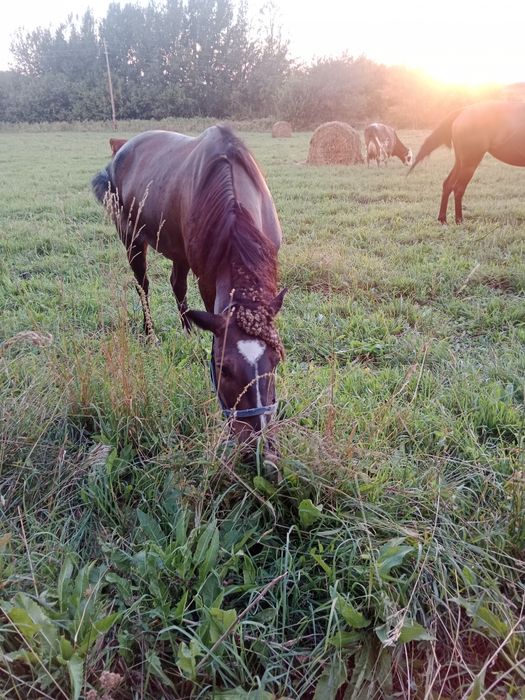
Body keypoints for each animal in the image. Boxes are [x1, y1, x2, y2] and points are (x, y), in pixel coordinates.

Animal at [92, 126, 286, 447]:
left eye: (276, 360)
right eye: (222, 367)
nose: (255, 439)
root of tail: (120, 148)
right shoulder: (206, 279)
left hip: (178, 251)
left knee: (176, 285)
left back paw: (188, 332)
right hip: (131, 238)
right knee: (143, 286)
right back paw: (151, 335)